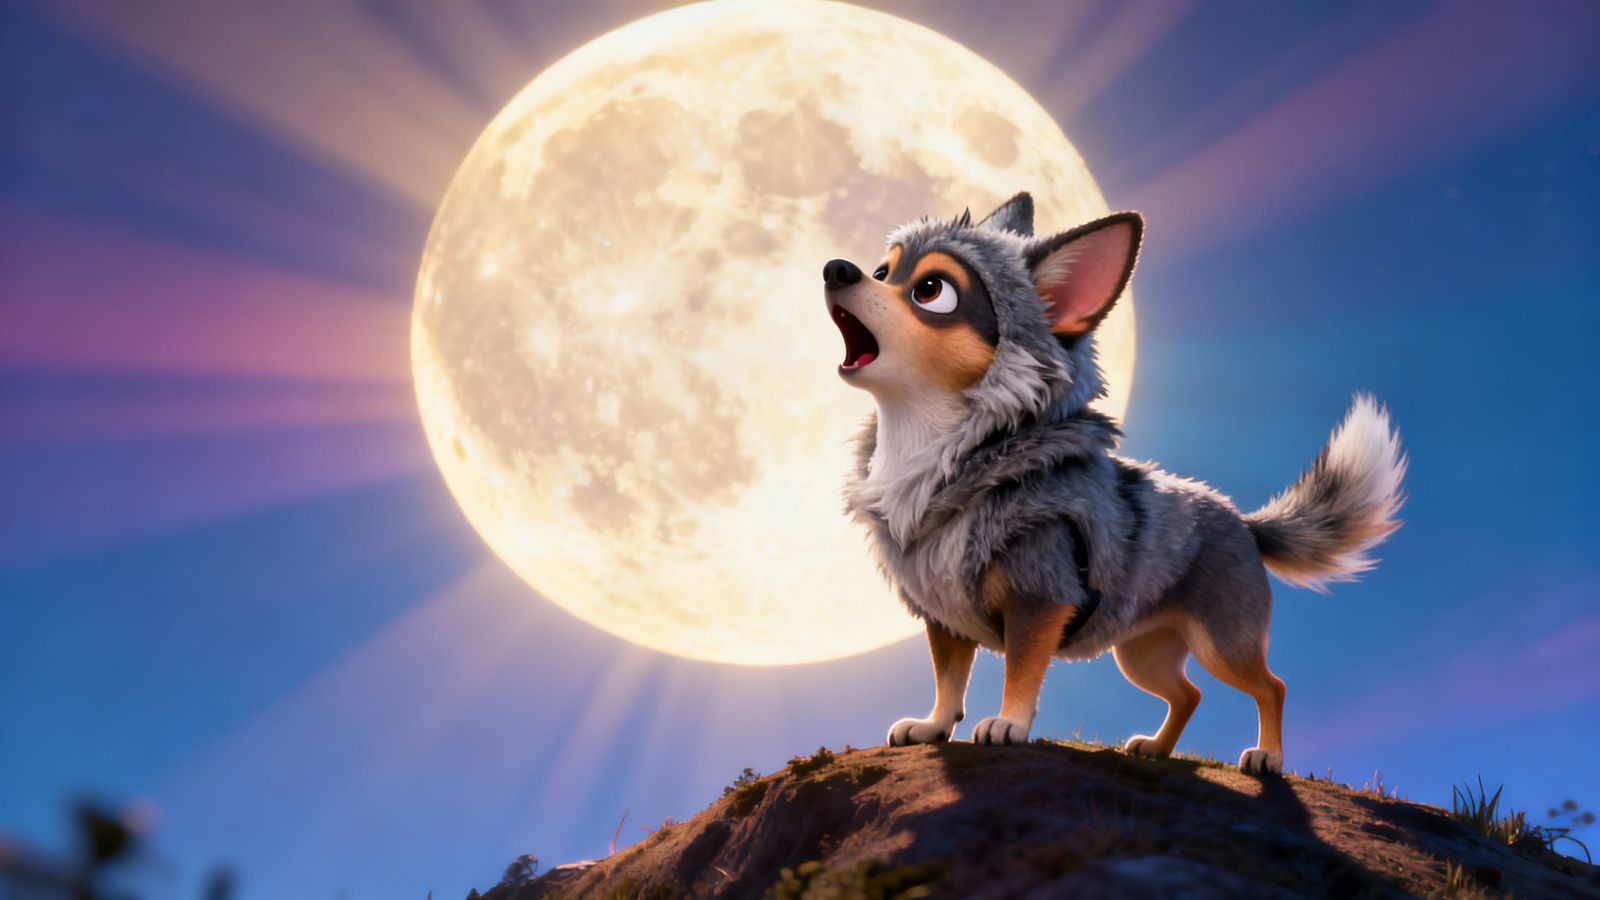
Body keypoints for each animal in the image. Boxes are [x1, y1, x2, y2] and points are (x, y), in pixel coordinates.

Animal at [822, 193, 1405, 773]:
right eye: (883, 271)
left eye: (931, 291)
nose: (836, 269)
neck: (939, 457)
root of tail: (1242, 521)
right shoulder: (944, 612)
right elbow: (949, 678)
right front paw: (934, 725)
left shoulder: (1040, 599)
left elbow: (1021, 671)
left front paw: (1008, 723)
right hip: (1140, 652)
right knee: (1189, 693)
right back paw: (1157, 749)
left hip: (1222, 642)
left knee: (1272, 686)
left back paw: (1267, 756)